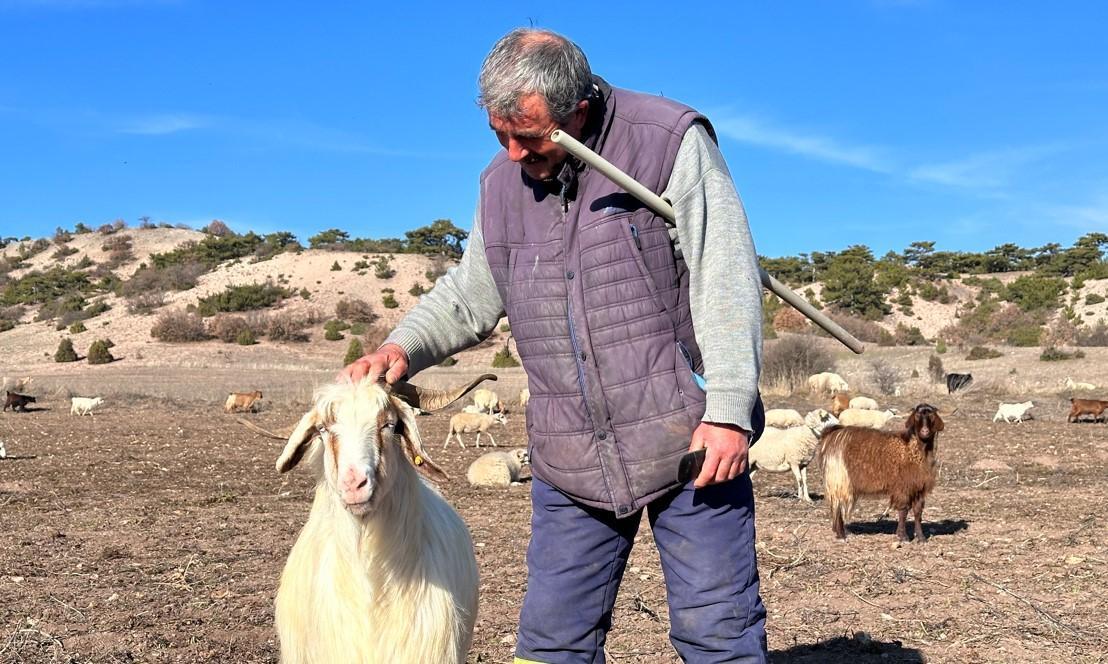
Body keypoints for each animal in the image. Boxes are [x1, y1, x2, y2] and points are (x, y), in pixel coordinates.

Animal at [819, 403, 948, 543]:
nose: (925, 431)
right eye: (917, 415)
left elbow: (918, 512)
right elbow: (903, 510)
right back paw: (841, 535)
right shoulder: (903, 486)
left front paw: (921, 537)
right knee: (837, 506)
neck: (914, 449)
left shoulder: (918, 487)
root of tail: (832, 434)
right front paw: (903, 536)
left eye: (931, 415)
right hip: (839, 478)